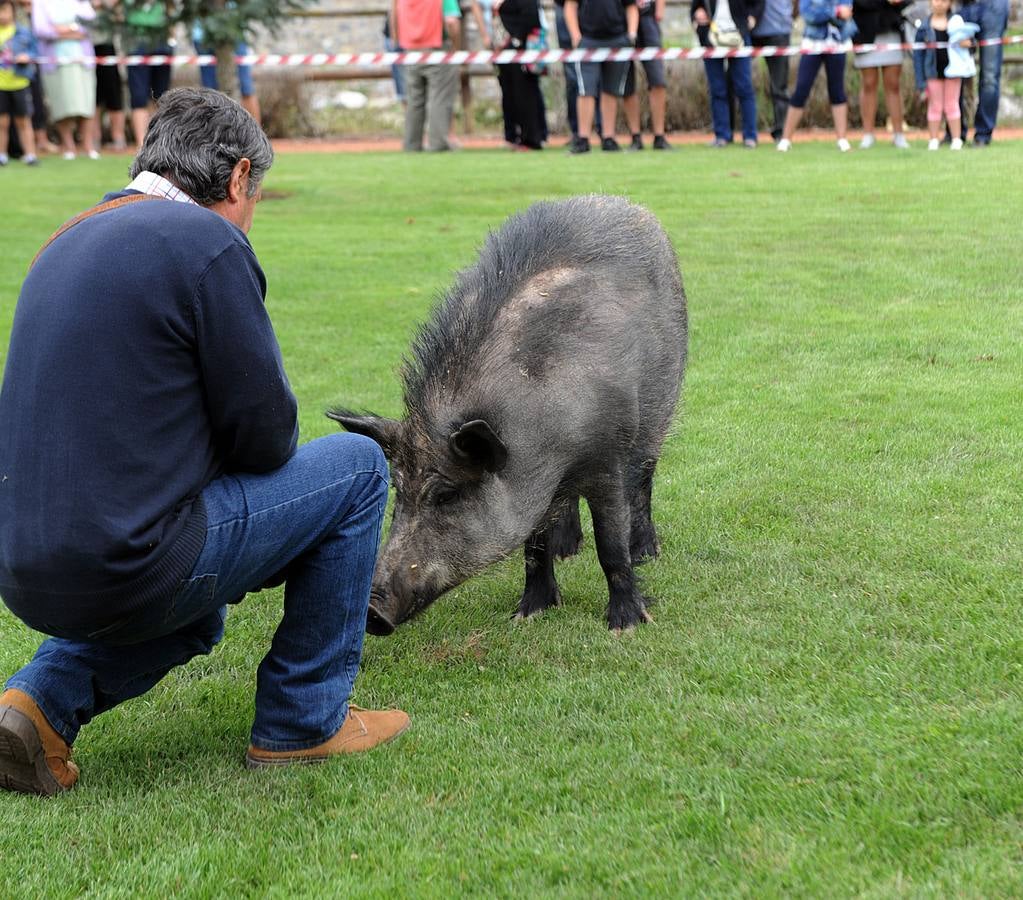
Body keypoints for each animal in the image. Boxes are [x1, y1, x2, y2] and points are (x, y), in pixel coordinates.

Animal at [333, 196, 687, 634]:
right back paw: (568, 549)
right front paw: (527, 614)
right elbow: (533, 546)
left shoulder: (607, 455)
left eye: (447, 495)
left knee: (645, 479)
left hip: (661, 407)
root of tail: (623, 203)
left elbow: (610, 543)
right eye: (398, 489)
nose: (372, 612)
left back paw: (646, 552)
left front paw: (625, 625)